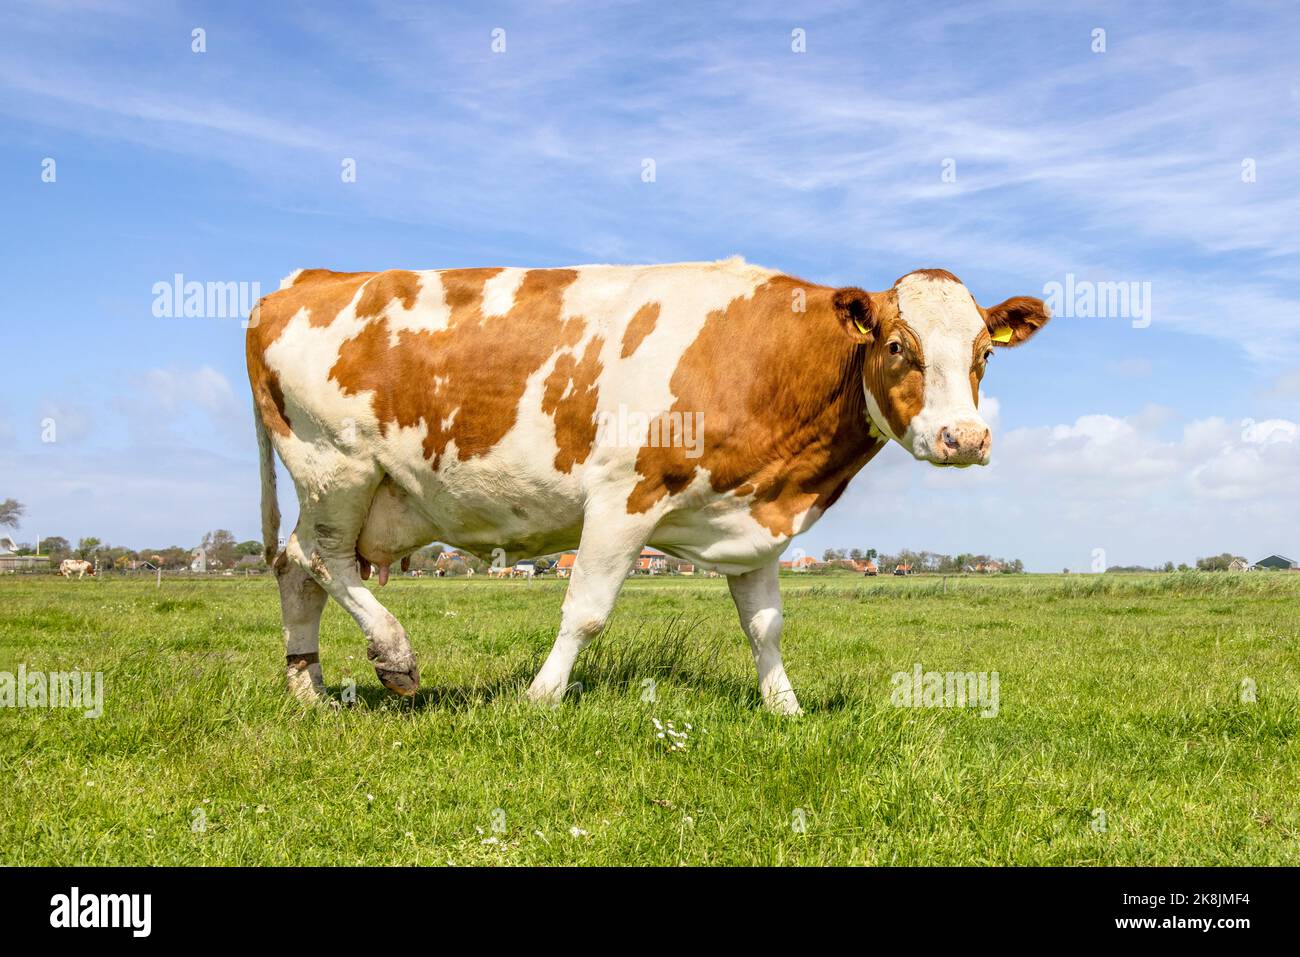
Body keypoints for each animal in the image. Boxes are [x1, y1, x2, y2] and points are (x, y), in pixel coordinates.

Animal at [247, 259, 1050, 711]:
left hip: (358, 489)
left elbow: (765, 625)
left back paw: (307, 688)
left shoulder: (752, 513)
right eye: (897, 345)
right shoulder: (621, 495)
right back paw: (395, 658)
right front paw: (538, 700)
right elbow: (585, 612)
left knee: (295, 567)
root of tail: (302, 283)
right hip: (336, 465)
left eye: (983, 353)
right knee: (324, 561)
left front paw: (784, 709)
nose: (964, 439)